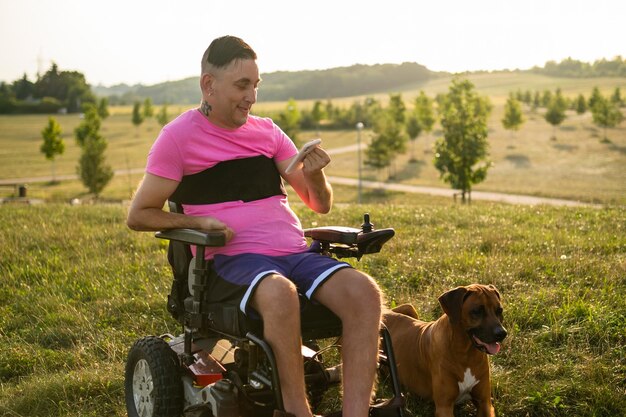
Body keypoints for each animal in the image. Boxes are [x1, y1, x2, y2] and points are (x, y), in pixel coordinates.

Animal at [380, 282, 508, 416]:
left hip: (409, 308)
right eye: (477, 311)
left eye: (499, 310)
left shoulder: (485, 402)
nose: (502, 333)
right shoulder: (444, 407)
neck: (466, 354)